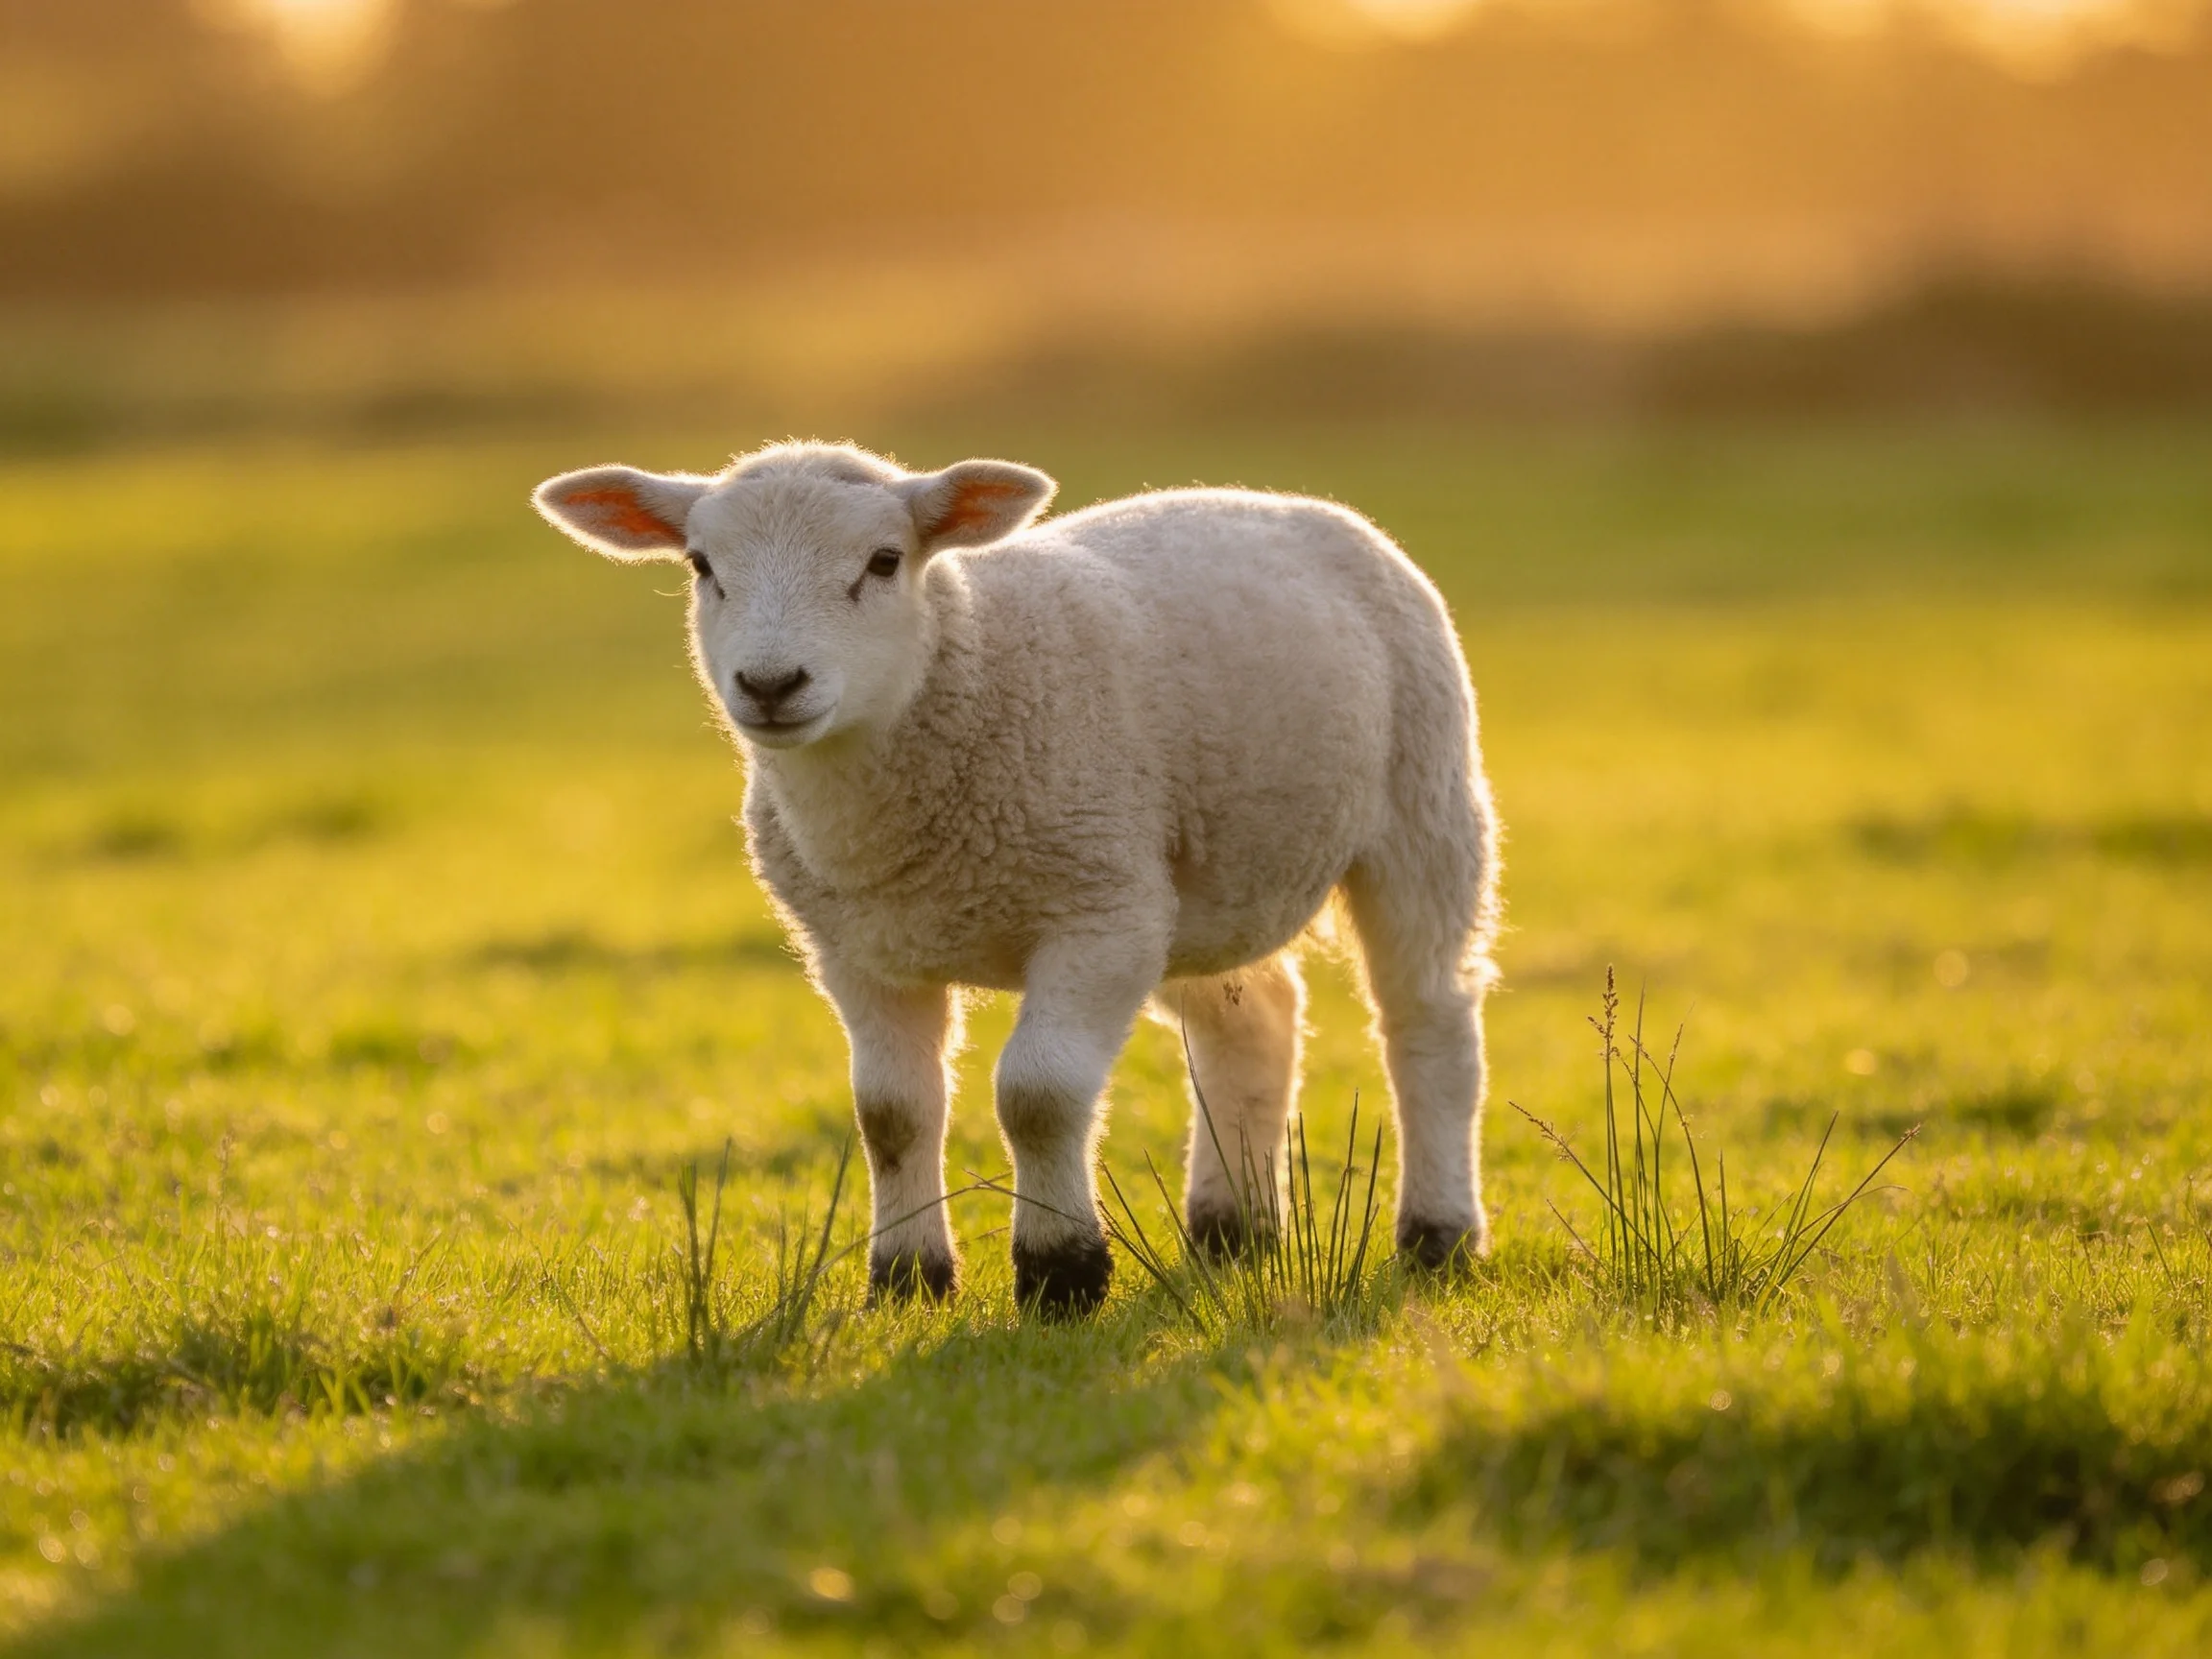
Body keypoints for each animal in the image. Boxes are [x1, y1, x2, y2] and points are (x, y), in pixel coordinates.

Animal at [532, 442, 1501, 1316]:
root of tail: (1275, 497)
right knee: (1255, 1020)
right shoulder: (859, 950)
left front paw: (1061, 1275)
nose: (771, 683)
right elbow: (890, 1114)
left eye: (884, 562)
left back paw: (1438, 1236)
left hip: (1421, 803)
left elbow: (1038, 1095)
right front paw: (909, 1280)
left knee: (1428, 1023)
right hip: (1198, 884)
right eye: (702, 566)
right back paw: (1234, 1230)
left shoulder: (1095, 915)